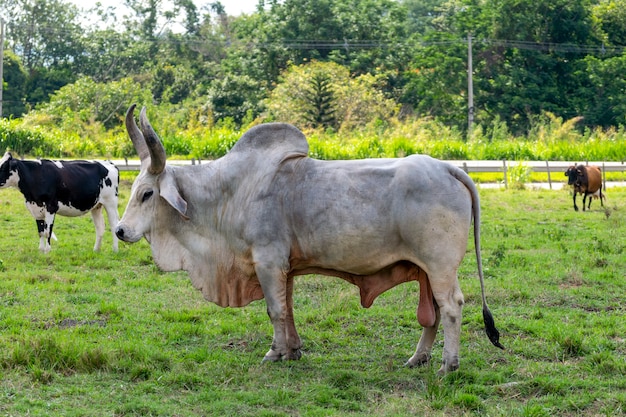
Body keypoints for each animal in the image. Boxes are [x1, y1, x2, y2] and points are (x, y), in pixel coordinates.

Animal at [114, 105, 500, 374]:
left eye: (147, 193)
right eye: (132, 190)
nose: (120, 230)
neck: (230, 192)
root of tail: (448, 167)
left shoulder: (267, 261)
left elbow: (274, 309)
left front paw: (276, 352)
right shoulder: (285, 266)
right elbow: (288, 308)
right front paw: (293, 349)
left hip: (440, 266)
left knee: (451, 307)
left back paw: (448, 364)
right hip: (427, 270)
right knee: (432, 313)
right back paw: (418, 358)